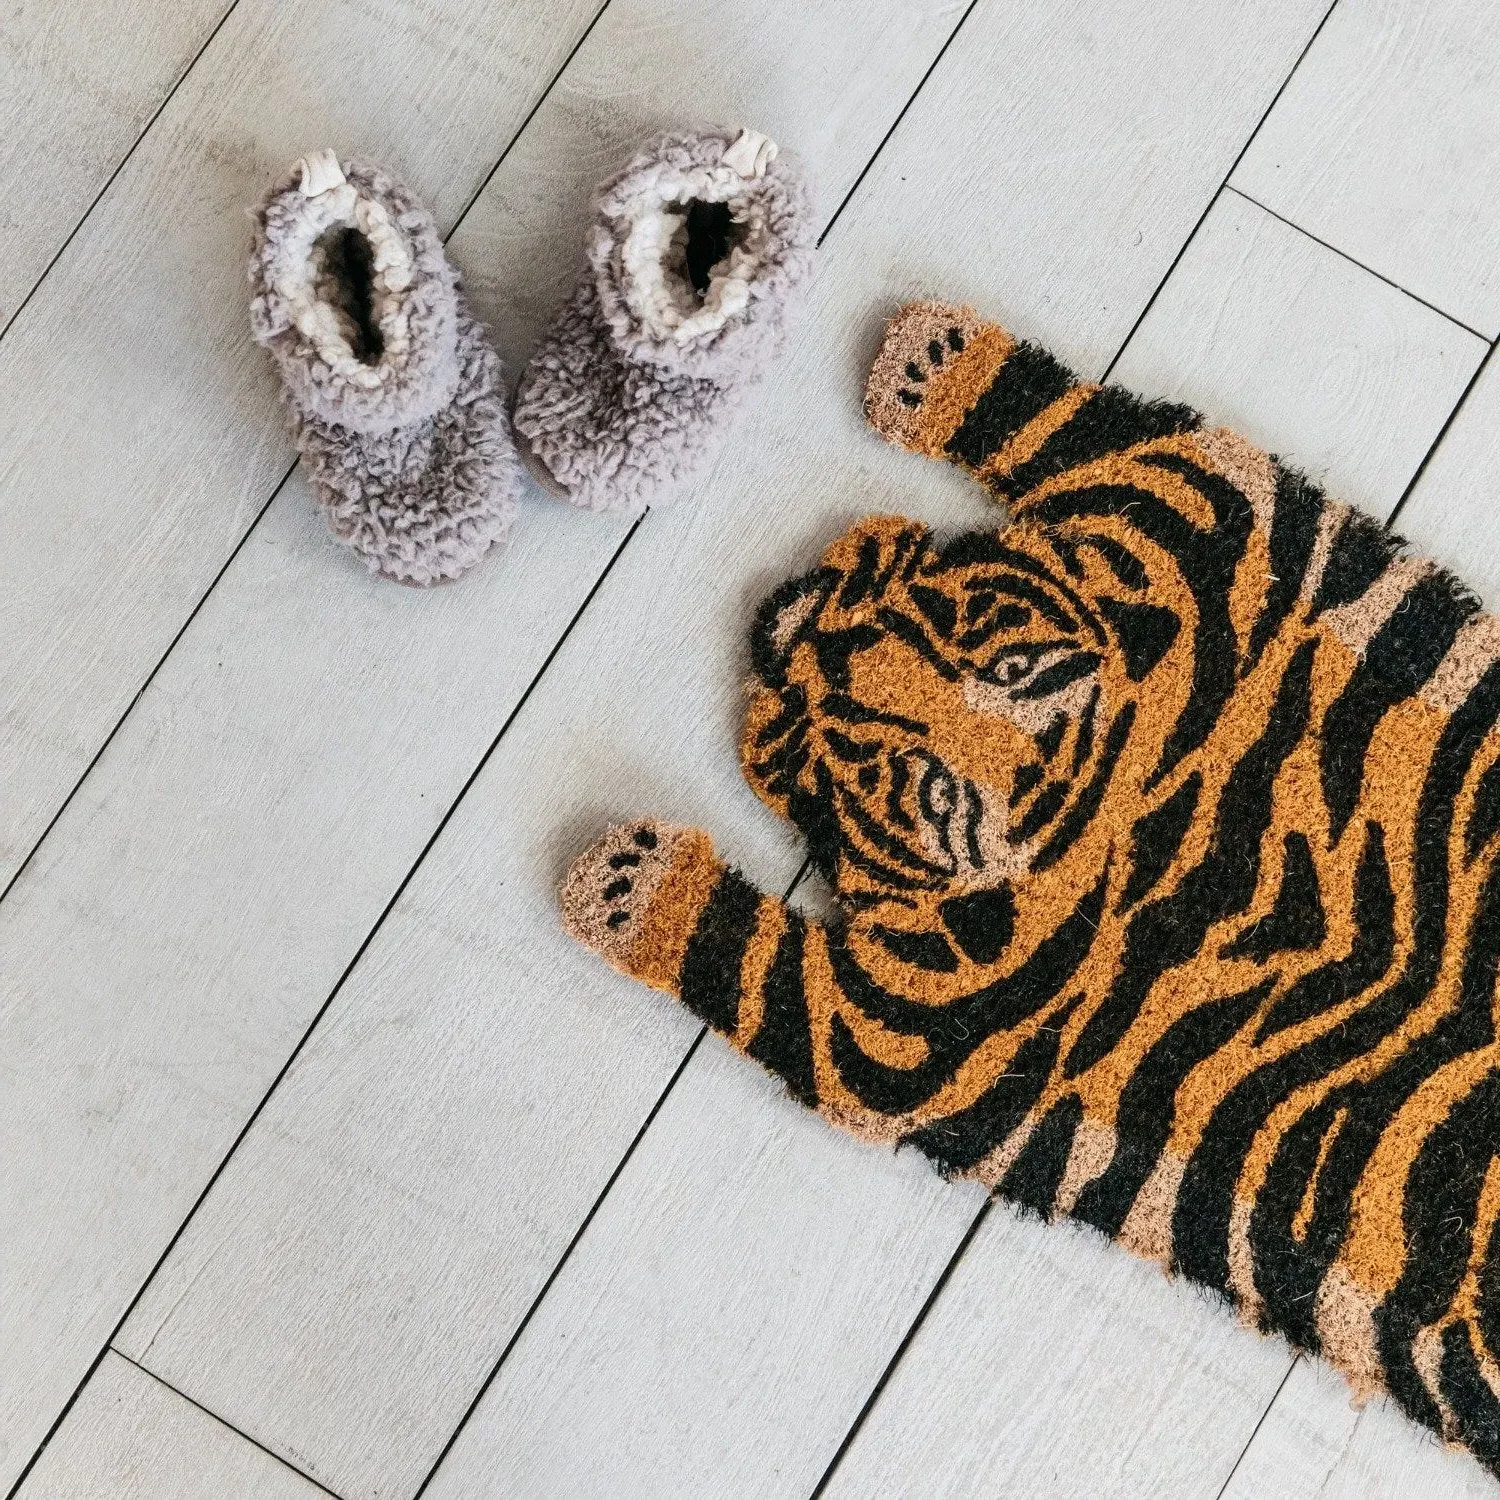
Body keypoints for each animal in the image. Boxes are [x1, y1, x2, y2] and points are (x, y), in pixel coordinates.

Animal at [560, 299, 1500, 1474]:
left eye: (893, 769)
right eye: (942, 642)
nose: (808, 626)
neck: (1120, 811)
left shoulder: (893, 1045)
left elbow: (742, 954)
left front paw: (625, 881)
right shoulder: (1213, 526)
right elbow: (1084, 431)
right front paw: (929, 360)